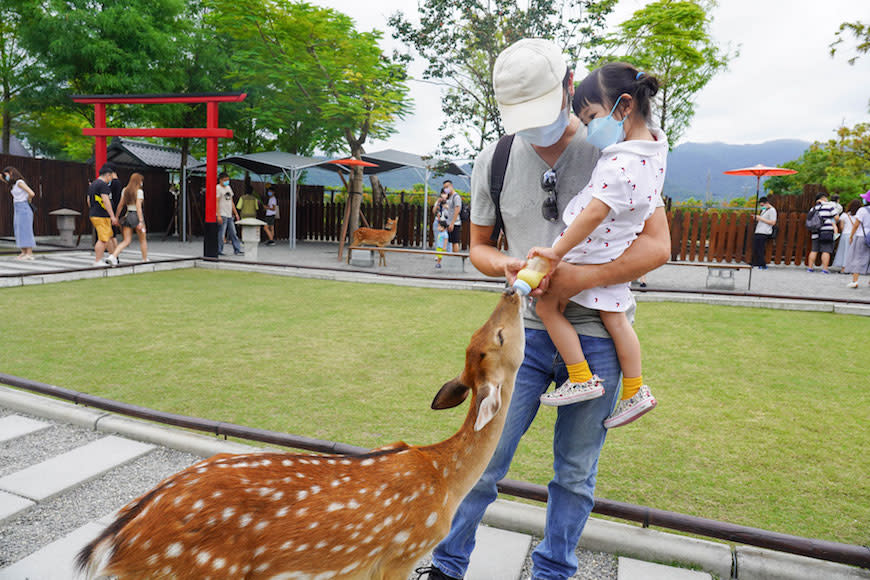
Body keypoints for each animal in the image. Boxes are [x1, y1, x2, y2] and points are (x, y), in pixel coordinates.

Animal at [75, 288, 524, 576]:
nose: (511, 290)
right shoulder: (400, 554)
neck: (444, 478)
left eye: (481, 337)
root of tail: (111, 546)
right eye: (500, 337)